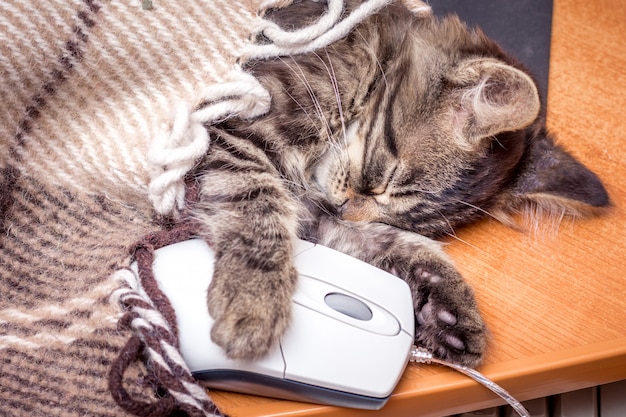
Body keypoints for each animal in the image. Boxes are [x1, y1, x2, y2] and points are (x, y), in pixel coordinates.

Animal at [188, 0, 608, 366]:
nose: (345, 211)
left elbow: (390, 244)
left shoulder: (321, 213)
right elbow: (257, 206)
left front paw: (449, 309)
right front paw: (253, 299)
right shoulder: (233, 124)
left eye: (400, 217)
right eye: (385, 177)